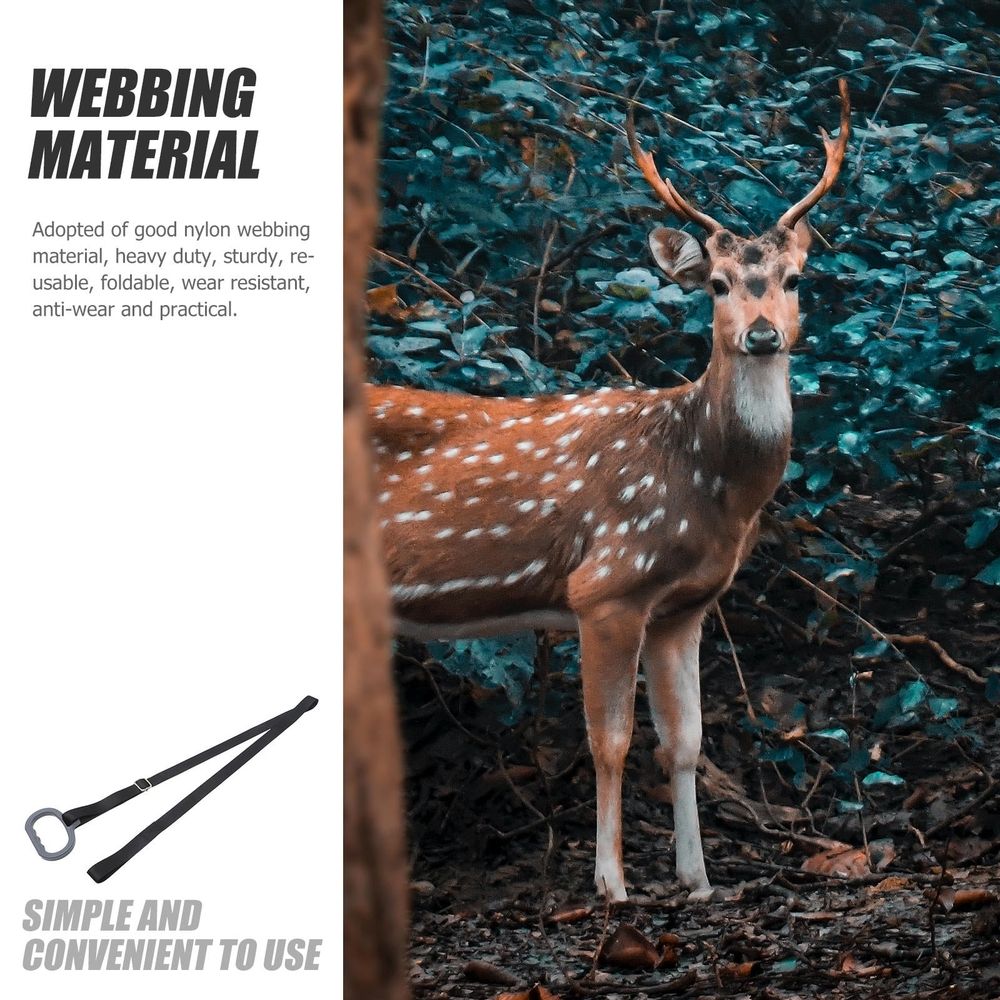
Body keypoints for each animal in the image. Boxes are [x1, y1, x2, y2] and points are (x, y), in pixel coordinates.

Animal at [368, 81, 850, 902]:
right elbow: (611, 742)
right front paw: (612, 883)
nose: (761, 335)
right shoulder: (606, 587)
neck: (707, 486)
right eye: (717, 284)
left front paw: (698, 880)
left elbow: (685, 743)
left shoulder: (683, 608)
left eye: (793, 280)